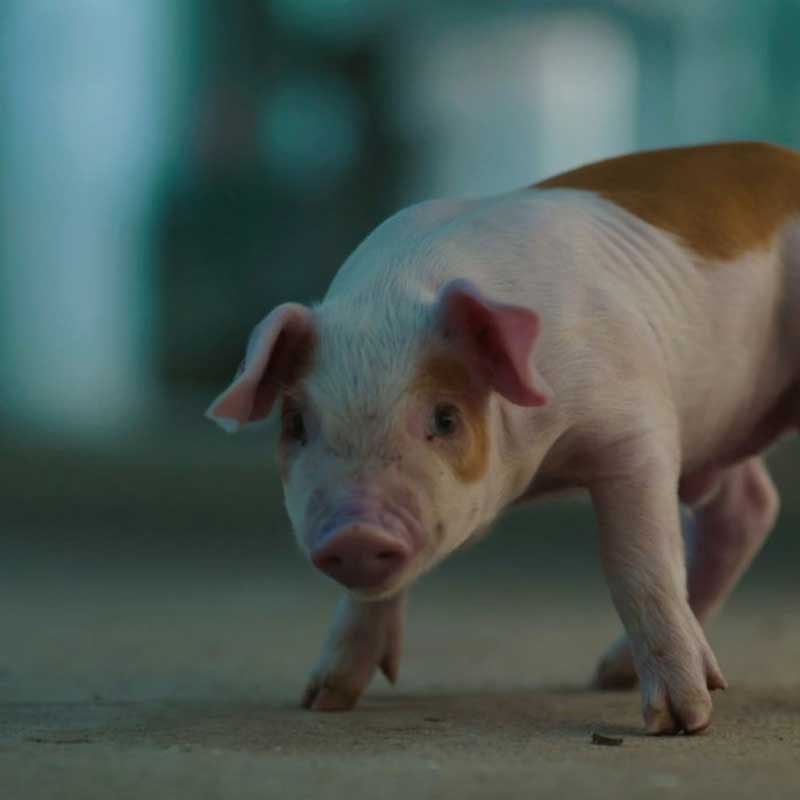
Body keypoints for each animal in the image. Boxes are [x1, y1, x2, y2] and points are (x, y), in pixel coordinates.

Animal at [207, 141, 800, 734]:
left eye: (445, 418)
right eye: (295, 424)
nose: (355, 533)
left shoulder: (635, 424)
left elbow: (637, 564)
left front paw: (681, 722)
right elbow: (367, 598)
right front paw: (322, 700)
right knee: (748, 507)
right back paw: (610, 675)